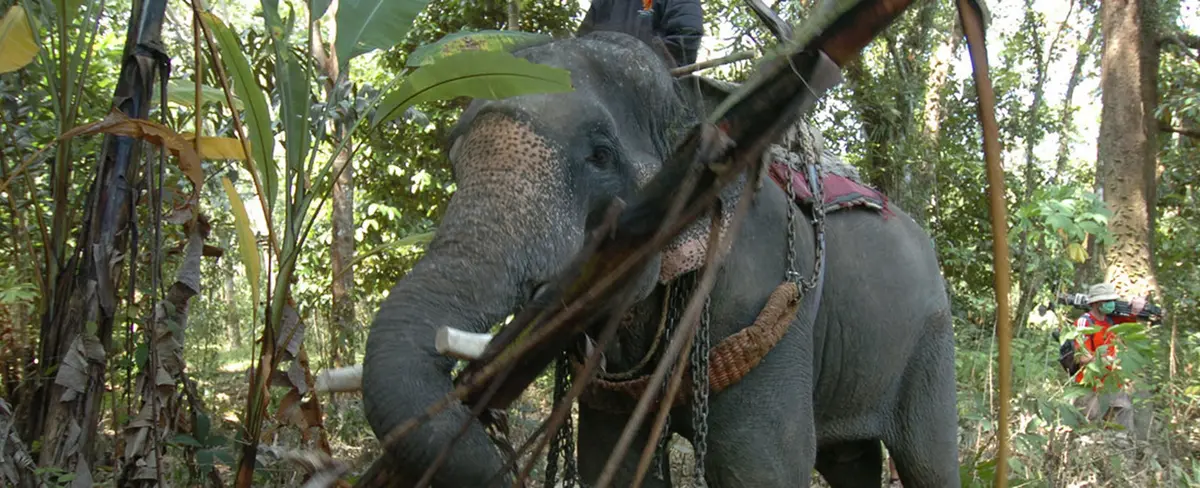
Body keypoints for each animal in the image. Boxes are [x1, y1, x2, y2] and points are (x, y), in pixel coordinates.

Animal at [362, 30, 961, 488]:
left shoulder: (764, 288)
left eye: (600, 155)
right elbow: (612, 461)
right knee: (849, 460)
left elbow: (757, 463)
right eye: (453, 162)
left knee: (928, 462)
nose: (498, 447)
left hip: (932, 339)